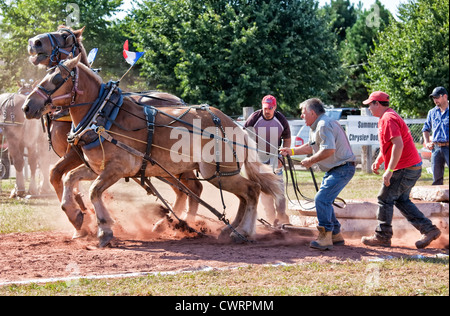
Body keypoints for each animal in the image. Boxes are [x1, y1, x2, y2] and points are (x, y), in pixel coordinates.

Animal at [22, 55, 282, 248]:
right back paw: (226, 229)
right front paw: (76, 216)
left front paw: (104, 229)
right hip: (201, 172)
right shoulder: (96, 167)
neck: (104, 115)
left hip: (216, 173)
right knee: (235, 195)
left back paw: (244, 231)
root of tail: (235, 124)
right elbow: (68, 178)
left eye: (57, 77)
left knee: (251, 190)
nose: (27, 106)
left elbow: (94, 191)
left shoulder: (117, 168)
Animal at [29, 26, 203, 237]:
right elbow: (66, 180)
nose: (35, 42)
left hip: (171, 164)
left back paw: (179, 223)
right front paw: (82, 215)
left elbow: (55, 174)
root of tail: (180, 101)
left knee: (192, 188)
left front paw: (80, 218)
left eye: (64, 36)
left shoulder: (75, 155)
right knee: (185, 190)